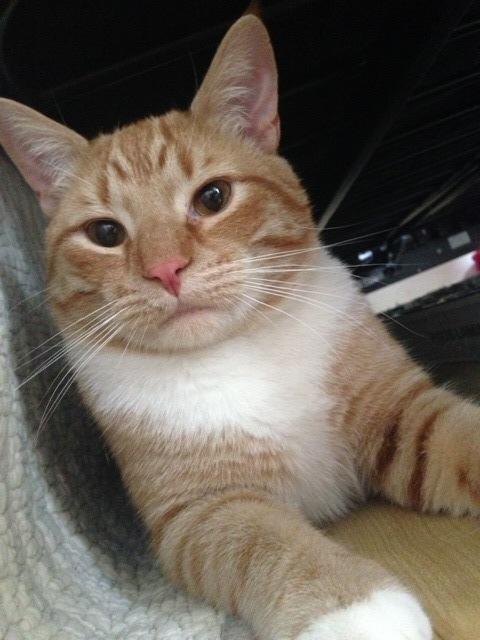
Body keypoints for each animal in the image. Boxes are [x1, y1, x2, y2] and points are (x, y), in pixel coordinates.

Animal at [0, 12, 480, 636]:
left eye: (213, 197)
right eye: (105, 234)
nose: (165, 269)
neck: (242, 349)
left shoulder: (402, 412)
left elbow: (461, 436)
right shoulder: (202, 511)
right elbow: (267, 543)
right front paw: (355, 607)